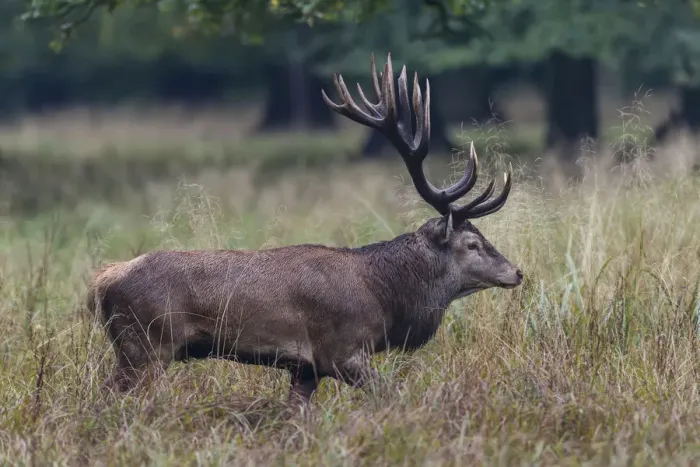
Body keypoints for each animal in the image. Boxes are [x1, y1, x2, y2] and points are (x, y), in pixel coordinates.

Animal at [86, 53, 523, 404]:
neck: (385, 296)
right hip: (146, 346)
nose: (517, 272)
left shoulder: (305, 367)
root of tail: (102, 282)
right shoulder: (342, 350)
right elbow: (390, 396)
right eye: (472, 243)